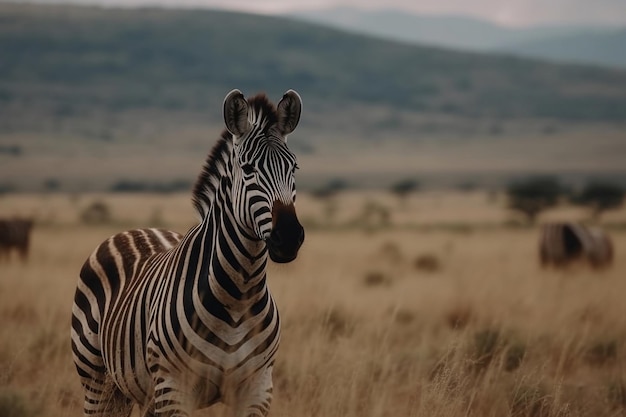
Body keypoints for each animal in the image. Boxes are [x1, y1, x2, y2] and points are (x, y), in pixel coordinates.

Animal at [70, 89, 304, 414]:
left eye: (294, 167)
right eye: (248, 169)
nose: (290, 238)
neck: (239, 295)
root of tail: (135, 229)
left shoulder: (257, 388)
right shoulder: (174, 387)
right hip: (97, 380)